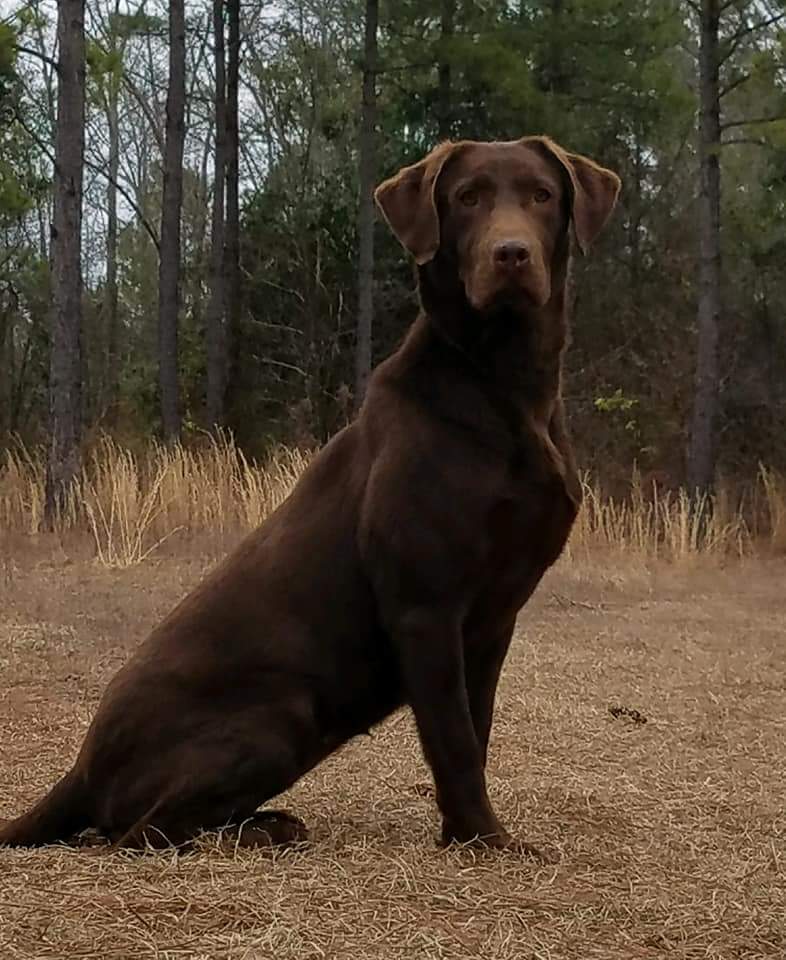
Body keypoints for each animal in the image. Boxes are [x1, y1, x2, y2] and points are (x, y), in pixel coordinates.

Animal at [1, 137, 620, 856]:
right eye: (467, 198)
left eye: (542, 195)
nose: (511, 253)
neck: (506, 385)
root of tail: (82, 765)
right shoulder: (426, 607)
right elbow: (456, 742)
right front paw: (483, 841)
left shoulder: (495, 618)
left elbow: (477, 728)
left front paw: (466, 833)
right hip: (281, 715)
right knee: (140, 832)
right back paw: (254, 834)